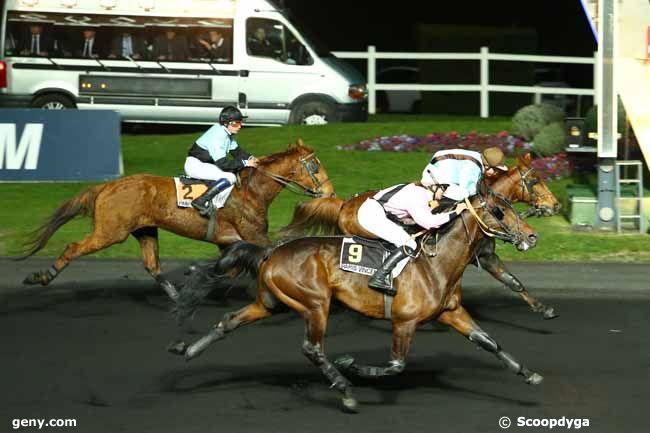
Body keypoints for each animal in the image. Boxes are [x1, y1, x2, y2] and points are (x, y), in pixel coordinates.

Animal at [19, 140, 334, 298]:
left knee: (152, 265)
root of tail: (108, 186)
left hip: (145, 230)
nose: (330, 191)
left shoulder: (228, 241)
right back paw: (42, 276)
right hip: (111, 232)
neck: (251, 191)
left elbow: (229, 269)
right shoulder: (253, 235)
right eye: (315, 166)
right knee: (73, 247)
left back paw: (175, 295)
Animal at [171, 178, 536, 412]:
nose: (532, 236)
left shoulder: (451, 312)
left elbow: (489, 342)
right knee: (312, 348)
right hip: (315, 303)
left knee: (229, 320)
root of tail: (270, 252)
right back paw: (346, 391)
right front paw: (352, 366)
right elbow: (395, 365)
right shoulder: (404, 321)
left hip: (271, 302)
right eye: (501, 211)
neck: (437, 262)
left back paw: (189, 350)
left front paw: (529, 374)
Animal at [276, 152, 560, 318]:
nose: (555, 205)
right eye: (535, 181)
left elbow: (513, 282)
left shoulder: (486, 256)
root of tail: (345, 204)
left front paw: (544, 308)